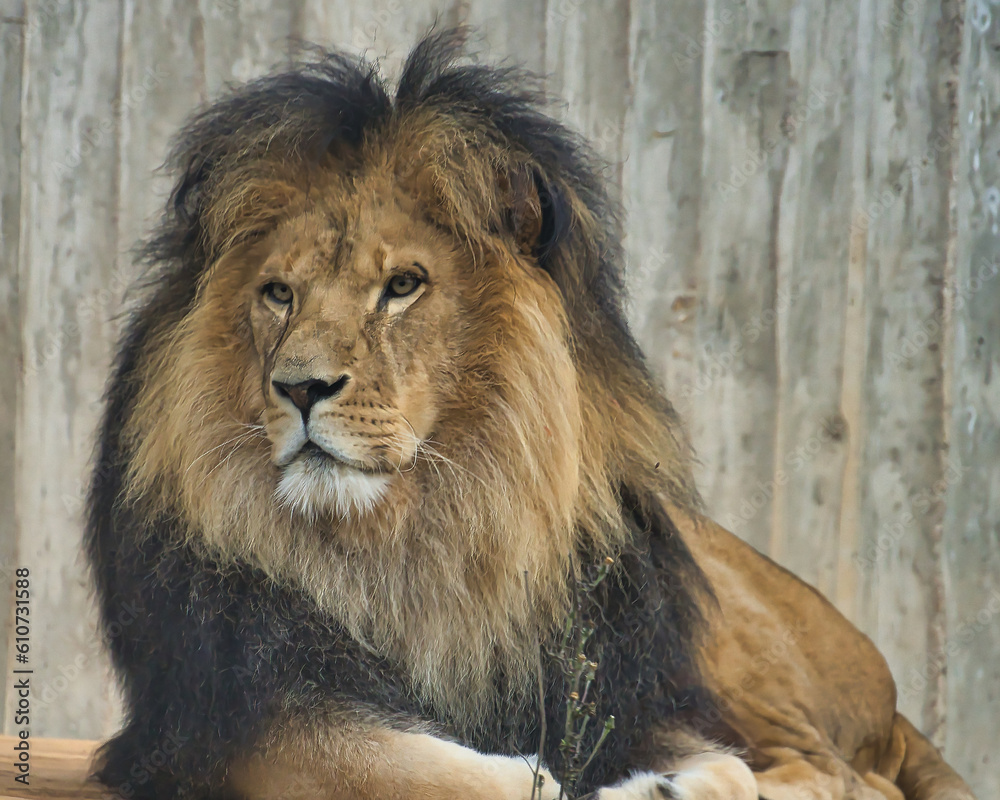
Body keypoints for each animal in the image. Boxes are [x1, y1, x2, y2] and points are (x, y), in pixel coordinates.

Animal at [85, 30, 976, 800]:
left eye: (402, 286)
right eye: (278, 293)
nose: (300, 387)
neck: (406, 544)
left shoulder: (632, 682)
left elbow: (720, 765)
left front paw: (660, 783)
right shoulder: (220, 716)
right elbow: (367, 760)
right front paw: (556, 777)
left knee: (843, 776)